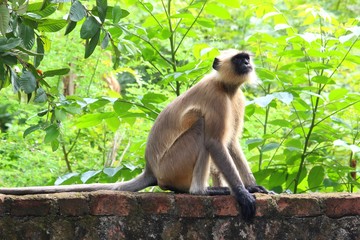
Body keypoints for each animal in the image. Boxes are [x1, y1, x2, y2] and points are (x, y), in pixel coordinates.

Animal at [0, 49, 270, 221]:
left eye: (246, 58)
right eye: (239, 60)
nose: (248, 64)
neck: (225, 87)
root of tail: (151, 169)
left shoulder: (236, 98)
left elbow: (231, 143)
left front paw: (252, 187)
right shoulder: (216, 99)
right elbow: (216, 142)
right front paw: (243, 194)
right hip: (173, 165)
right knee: (201, 128)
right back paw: (201, 192)